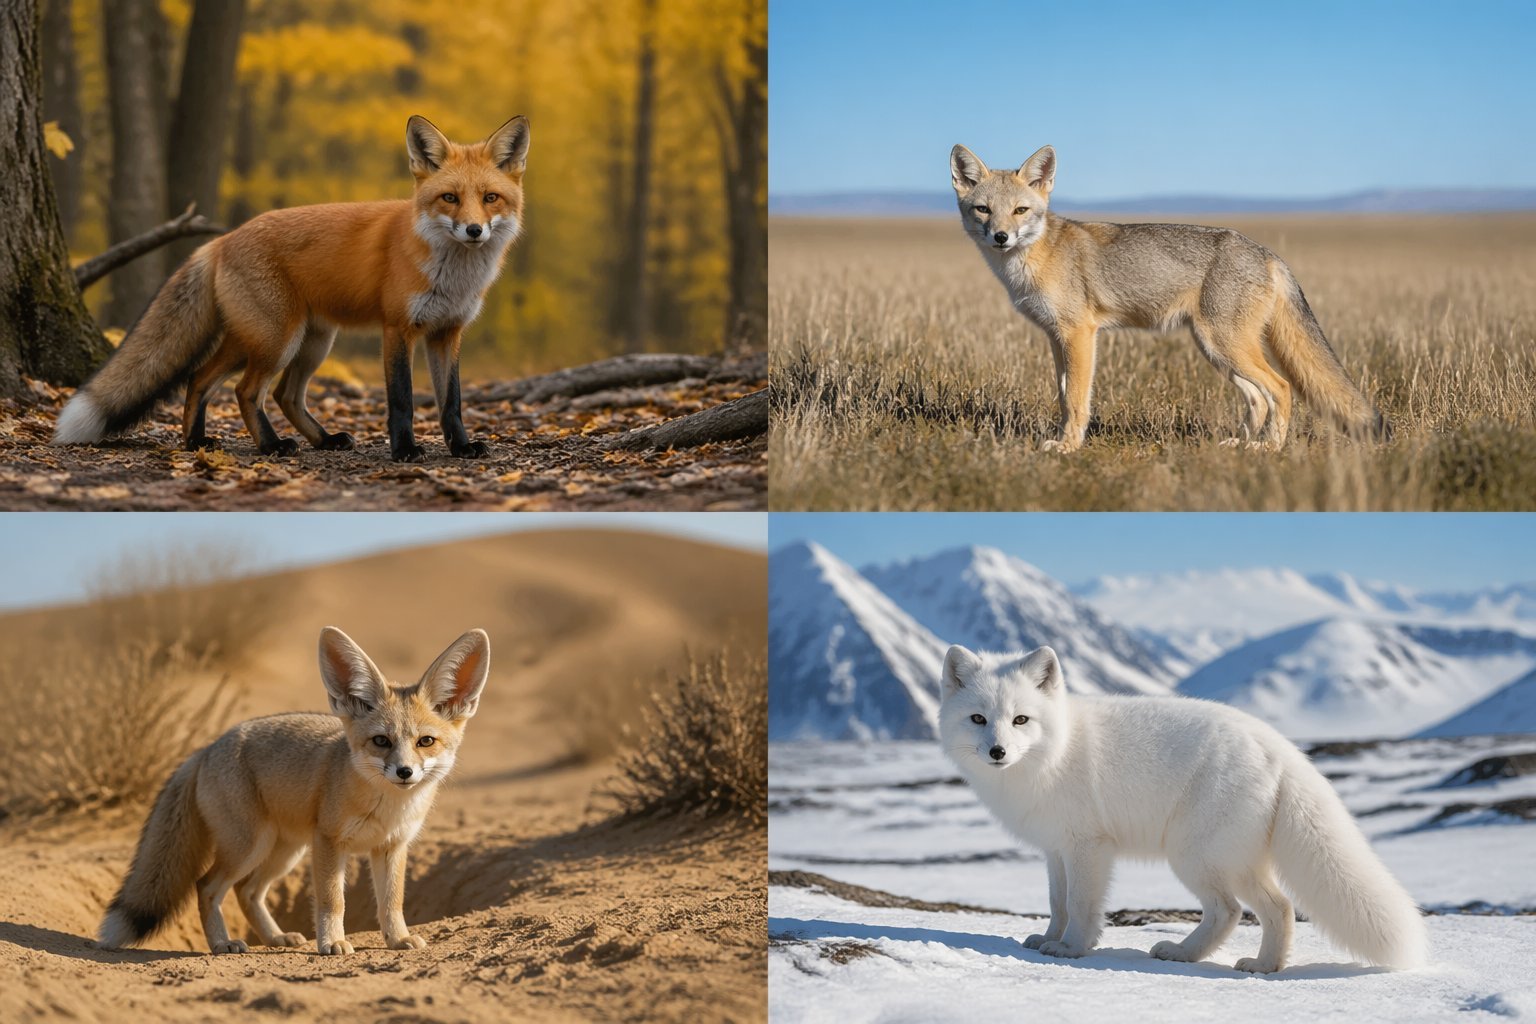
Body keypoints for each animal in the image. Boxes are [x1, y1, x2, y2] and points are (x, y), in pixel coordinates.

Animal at [53, 115, 530, 462]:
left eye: (490, 198)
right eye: (450, 198)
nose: (474, 231)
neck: (454, 275)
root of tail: (222, 239)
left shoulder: (447, 332)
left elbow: (452, 402)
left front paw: (461, 447)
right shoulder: (398, 329)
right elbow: (402, 399)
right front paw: (405, 451)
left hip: (302, 341)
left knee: (237, 385)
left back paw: (221, 442)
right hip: (275, 339)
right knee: (244, 390)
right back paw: (270, 446)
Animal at [97, 626, 491, 955]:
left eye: (426, 741)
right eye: (381, 741)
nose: (404, 772)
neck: (388, 807)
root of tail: (206, 748)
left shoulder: (391, 847)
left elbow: (392, 902)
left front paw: (398, 939)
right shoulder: (330, 842)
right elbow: (333, 900)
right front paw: (332, 943)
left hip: (284, 852)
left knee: (247, 891)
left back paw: (274, 938)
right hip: (251, 846)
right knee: (206, 886)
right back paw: (223, 943)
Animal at [938, 644, 1428, 973]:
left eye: (1021, 719)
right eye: (978, 719)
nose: (998, 752)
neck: (1054, 754)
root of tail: (1280, 747)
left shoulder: (1088, 847)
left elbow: (1080, 905)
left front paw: (1072, 949)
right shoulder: (1055, 850)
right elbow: (1057, 904)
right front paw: (1046, 940)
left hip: (1195, 855)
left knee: (1236, 910)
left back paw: (1186, 954)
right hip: (1232, 859)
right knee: (1278, 907)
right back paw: (1262, 966)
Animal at [949, 144, 1389, 451]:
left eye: (1021, 211)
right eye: (983, 210)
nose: (1001, 237)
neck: (1033, 259)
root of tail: (1267, 253)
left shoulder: (1080, 334)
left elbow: (1076, 400)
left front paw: (1069, 446)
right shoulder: (1057, 338)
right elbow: (1063, 395)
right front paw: (1065, 438)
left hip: (1225, 344)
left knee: (1280, 388)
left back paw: (1270, 447)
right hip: (1215, 349)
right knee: (1258, 398)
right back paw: (1243, 443)